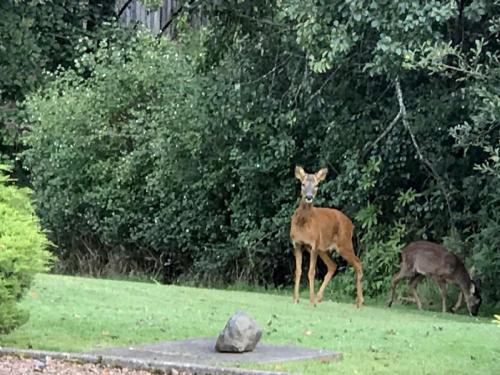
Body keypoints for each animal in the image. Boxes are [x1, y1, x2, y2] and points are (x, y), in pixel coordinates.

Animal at [290, 167, 364, 308]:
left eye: (316, 185)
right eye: (303, 184)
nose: (309, 197)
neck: (303, 224)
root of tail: (351, 224)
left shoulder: (313, 245)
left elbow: (311, 272)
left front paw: (311, 301)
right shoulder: (297, 244)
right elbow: (298, 271)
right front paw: (295, 299)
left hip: (344, 244)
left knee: (358, 263)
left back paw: (359, 303)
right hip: (323, 249)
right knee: (333, 265)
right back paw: (319, 297)